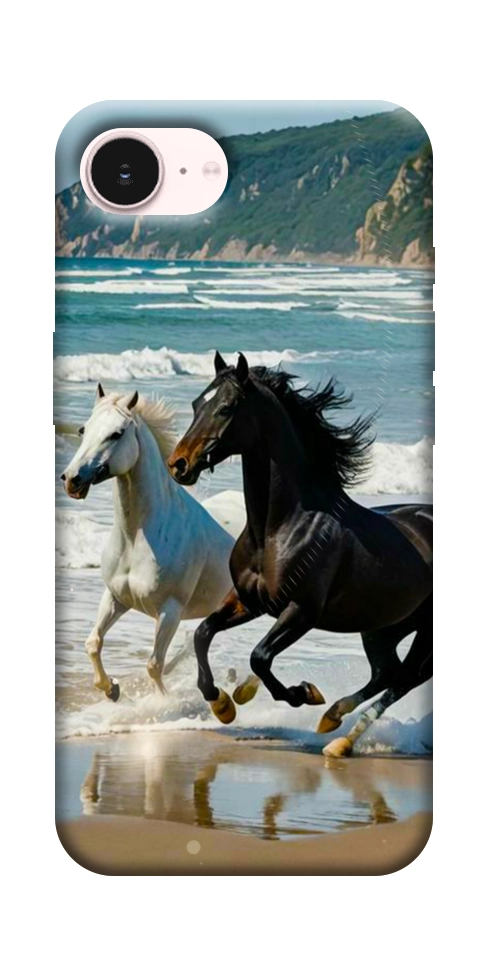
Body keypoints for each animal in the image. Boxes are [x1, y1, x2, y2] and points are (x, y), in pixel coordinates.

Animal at [61, 383, 234, 701]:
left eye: (116, 433)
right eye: (83, 429)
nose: (71, 480)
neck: (137, 538)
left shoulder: (170, 611)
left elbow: (154, 665)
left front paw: (161, 703)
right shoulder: (116, 597)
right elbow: (93, 643)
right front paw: (111, 689)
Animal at [167, 352, 432, 757]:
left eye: (226, 408)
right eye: (198, 403)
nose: (178, 464)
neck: (279, 528)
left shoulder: (301, 611)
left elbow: (260, 657)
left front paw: (302, 693)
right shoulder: (249, 601)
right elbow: (202, 633)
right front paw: (223, 703)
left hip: (422, 632)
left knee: (406, 678)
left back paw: (339, 738)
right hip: (383, 627)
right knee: (387, 672)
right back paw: (333, 720)